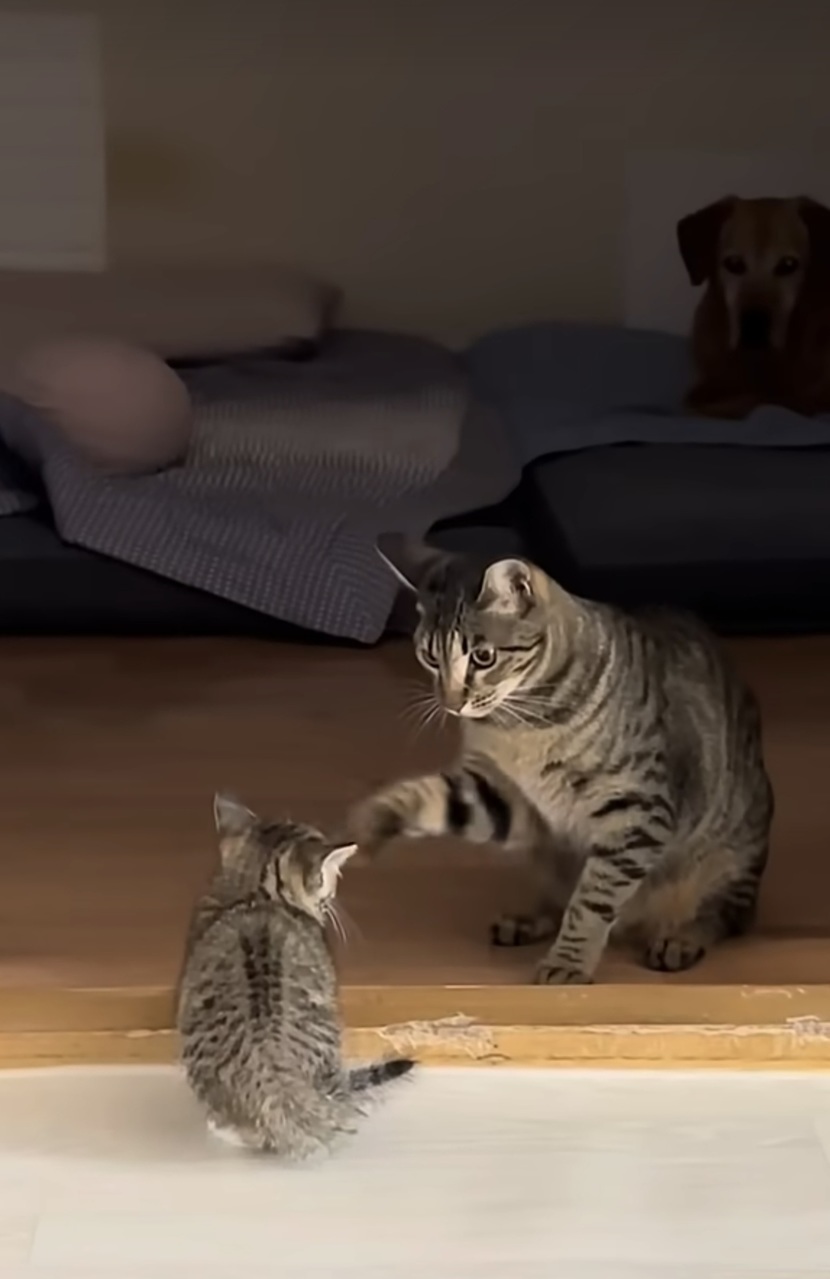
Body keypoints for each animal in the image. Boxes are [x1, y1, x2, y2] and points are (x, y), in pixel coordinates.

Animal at [348, 537, 774, 985]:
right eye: (430, 658)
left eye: (483, 657)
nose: (450, 703)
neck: (520, 726)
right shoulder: (508, 797)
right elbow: (433, 794)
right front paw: (378, 816)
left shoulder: (635, 811)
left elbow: (592, 901)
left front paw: (569, 962)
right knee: (559, 898)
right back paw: (528, 919)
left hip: (728, 857)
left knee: (726, 915)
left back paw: (680, 939)